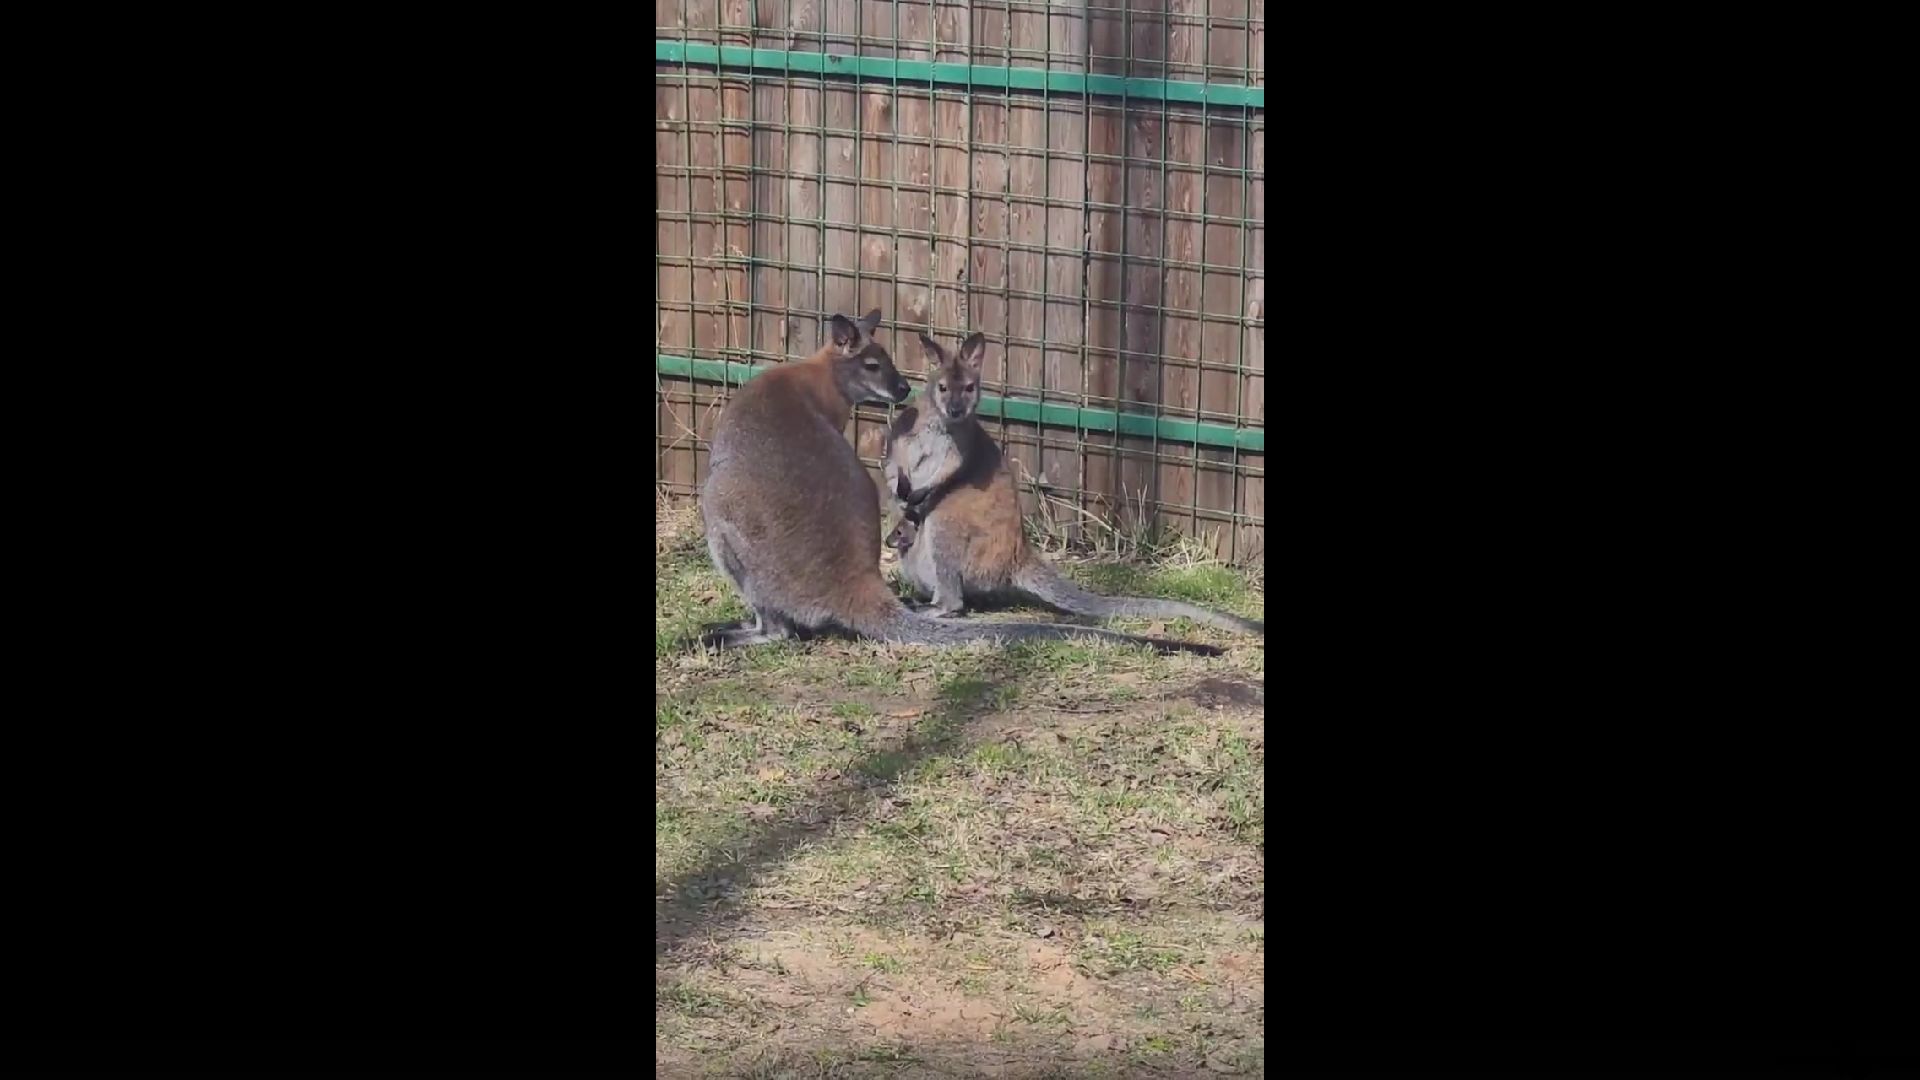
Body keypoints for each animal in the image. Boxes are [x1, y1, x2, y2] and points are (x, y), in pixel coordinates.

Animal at [694, 310, 1223, 656]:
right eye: (874, 363)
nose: (903, 389)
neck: (814, 375)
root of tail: (855, 587)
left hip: (723, 521)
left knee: (780, 631)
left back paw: (725, 633)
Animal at [881, 331, 1264, 636]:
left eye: (970, 387)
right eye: (943, 388)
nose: (957, 410)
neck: (940, 423)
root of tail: (1018, 558)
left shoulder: (960, 449)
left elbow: (948, 472)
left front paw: (917, 493)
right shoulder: (903, 438)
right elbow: (894, 462)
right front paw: (900, 491)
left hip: (950, 525)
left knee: (954, 596)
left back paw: (932, 605)